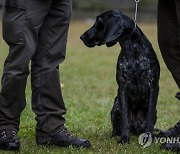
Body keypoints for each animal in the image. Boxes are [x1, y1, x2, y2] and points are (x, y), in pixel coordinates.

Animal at [81, 10, 160, 144]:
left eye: (99, 21)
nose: (82, 37)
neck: (132, 50)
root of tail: (135, 127)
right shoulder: (122, 88)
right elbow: (124, 118)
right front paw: (124, 138)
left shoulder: (153, 87)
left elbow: (149, 118)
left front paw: (149, 138)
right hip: (116, 104)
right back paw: (116, 134)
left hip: (154, 110)